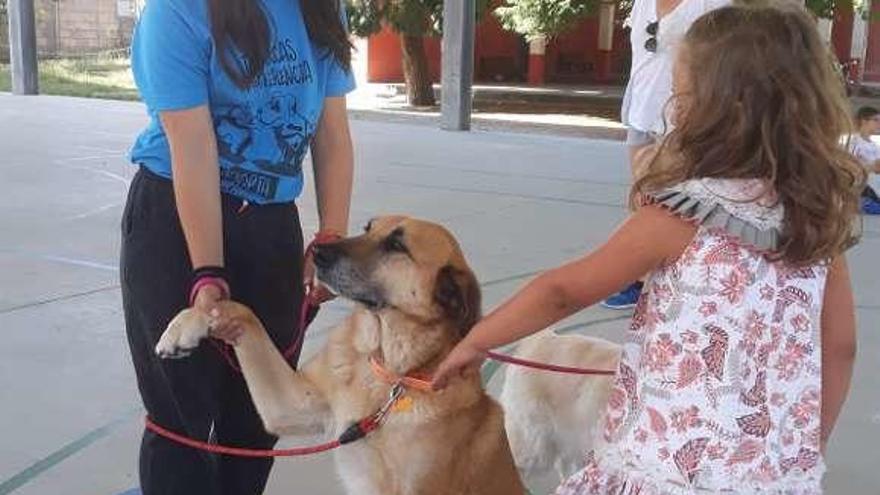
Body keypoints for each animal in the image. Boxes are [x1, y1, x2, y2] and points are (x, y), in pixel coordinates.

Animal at [155, 217, 524, 495]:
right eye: (368, 227)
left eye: (397, 245)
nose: (318, 250)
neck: (386, 372)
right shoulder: (291, 406)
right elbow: (242, 310)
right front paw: (190, 322)